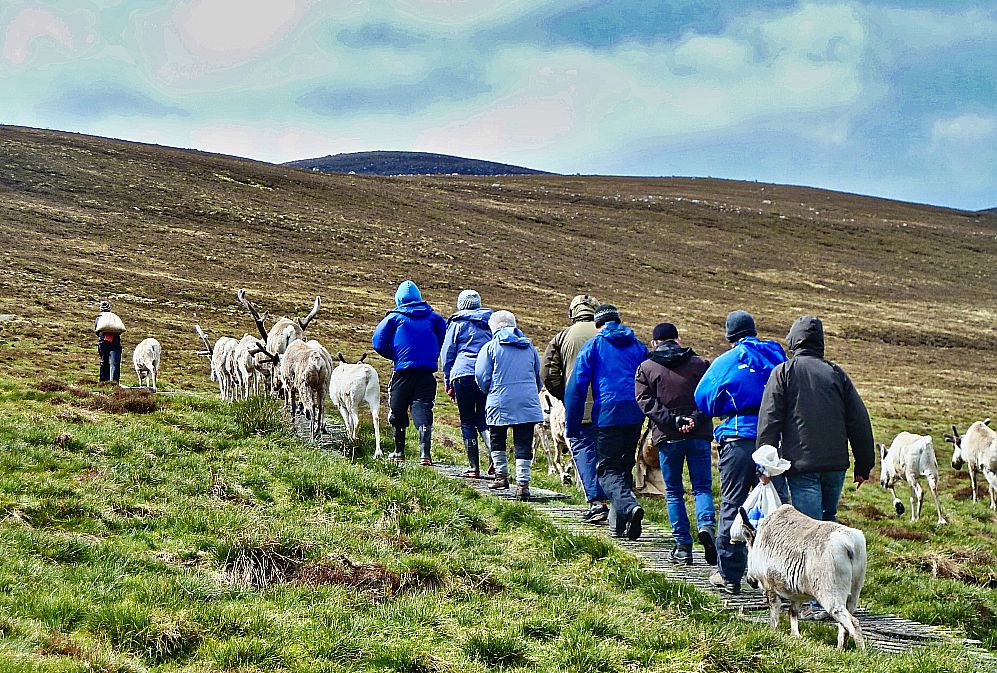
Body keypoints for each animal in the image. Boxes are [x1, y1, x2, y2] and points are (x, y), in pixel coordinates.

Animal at [740, 504, 867, 650]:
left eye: (747, 548)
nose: (750, 580)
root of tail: (850, 546)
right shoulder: (797, 593)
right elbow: (793, 611)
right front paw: (795, 635)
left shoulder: (769, 585)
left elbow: (775, 611)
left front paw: (773, 631)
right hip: (855, 590)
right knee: (844, 623)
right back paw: (840, 649)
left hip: (830, 592)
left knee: (851, 621)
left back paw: (861, 652)